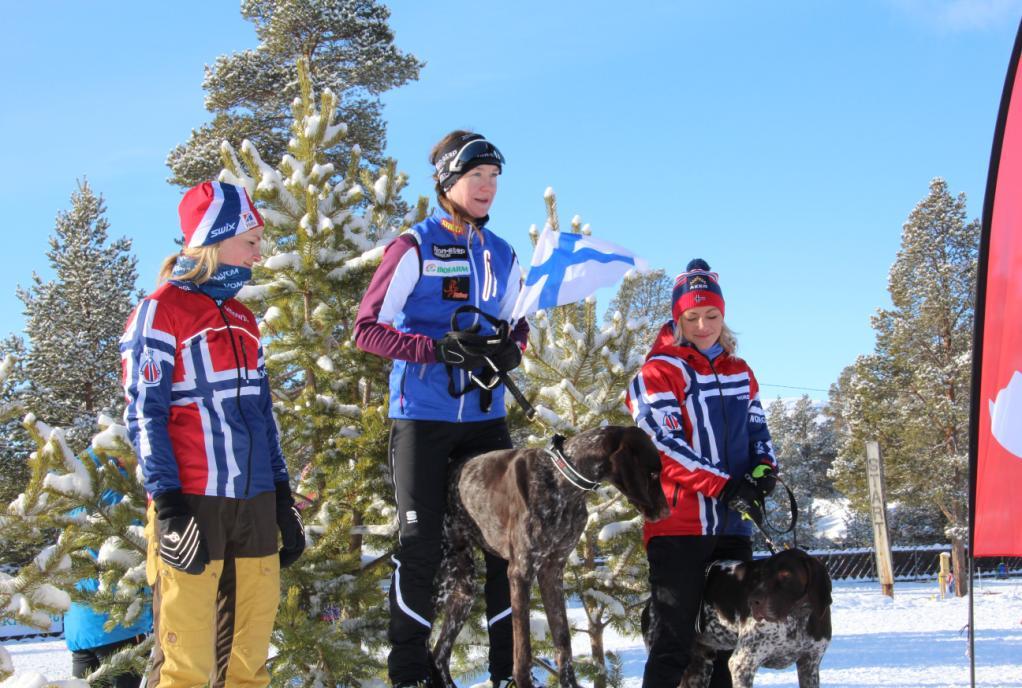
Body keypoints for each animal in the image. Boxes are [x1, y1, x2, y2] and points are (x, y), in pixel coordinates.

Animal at [429, 423, 670, 686]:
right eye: (652, 474)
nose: (666, 512)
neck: (563, 482)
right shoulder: (521, 572)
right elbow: (523, 652)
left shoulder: (552, 570)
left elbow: (563, 641)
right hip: (439, 582)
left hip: (464, 589)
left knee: (439, 654)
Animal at [678, 547, 829, 686]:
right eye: (763, 575)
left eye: (785, 575)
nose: (753, 601)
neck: (798, 618)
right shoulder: (742, 665)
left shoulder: (809, 664)